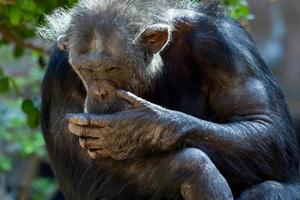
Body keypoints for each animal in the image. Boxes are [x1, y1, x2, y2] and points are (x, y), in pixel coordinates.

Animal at [38, 0, 298, 200]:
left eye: (112, 69)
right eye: (86, 70)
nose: (99, 92)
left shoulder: (224, 44)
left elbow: (263, 124)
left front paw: (141, 129)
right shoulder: (60, 73)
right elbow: (82, 168)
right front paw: (195, 170)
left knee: (271, 188)